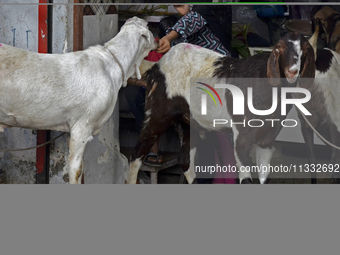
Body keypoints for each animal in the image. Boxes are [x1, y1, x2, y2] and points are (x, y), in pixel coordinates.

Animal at [0, 16, 157, 183]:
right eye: (148, 26)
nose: (157, 41)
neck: (111, 65)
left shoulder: (72, 125)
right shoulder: (83, 125)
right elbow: (76, 169)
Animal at [128, 32, 316, 184]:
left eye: (305, 50)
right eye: (280, 48)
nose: (292, 71)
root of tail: (156, 66)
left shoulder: (267, 140)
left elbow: (264, 178)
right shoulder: (242, 135)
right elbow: (246, 178)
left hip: (189, 122)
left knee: (185, 160)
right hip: (157, 113)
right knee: (136, 154)